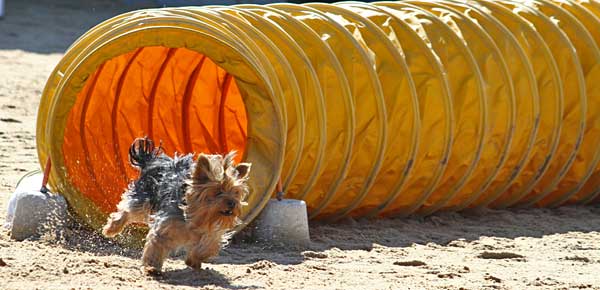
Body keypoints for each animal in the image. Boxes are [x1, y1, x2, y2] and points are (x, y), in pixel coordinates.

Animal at [101, 137, 251, 276]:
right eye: (218, 191)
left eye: (236, 193)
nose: (232, 203)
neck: (199, 215)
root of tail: (154, 159)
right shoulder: (165, 226)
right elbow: (156, 246)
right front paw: (151, 267)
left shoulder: (212, 232)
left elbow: (207, 246)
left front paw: (194, 260)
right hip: (143, 196)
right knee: (127, 209)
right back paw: (111, 229)